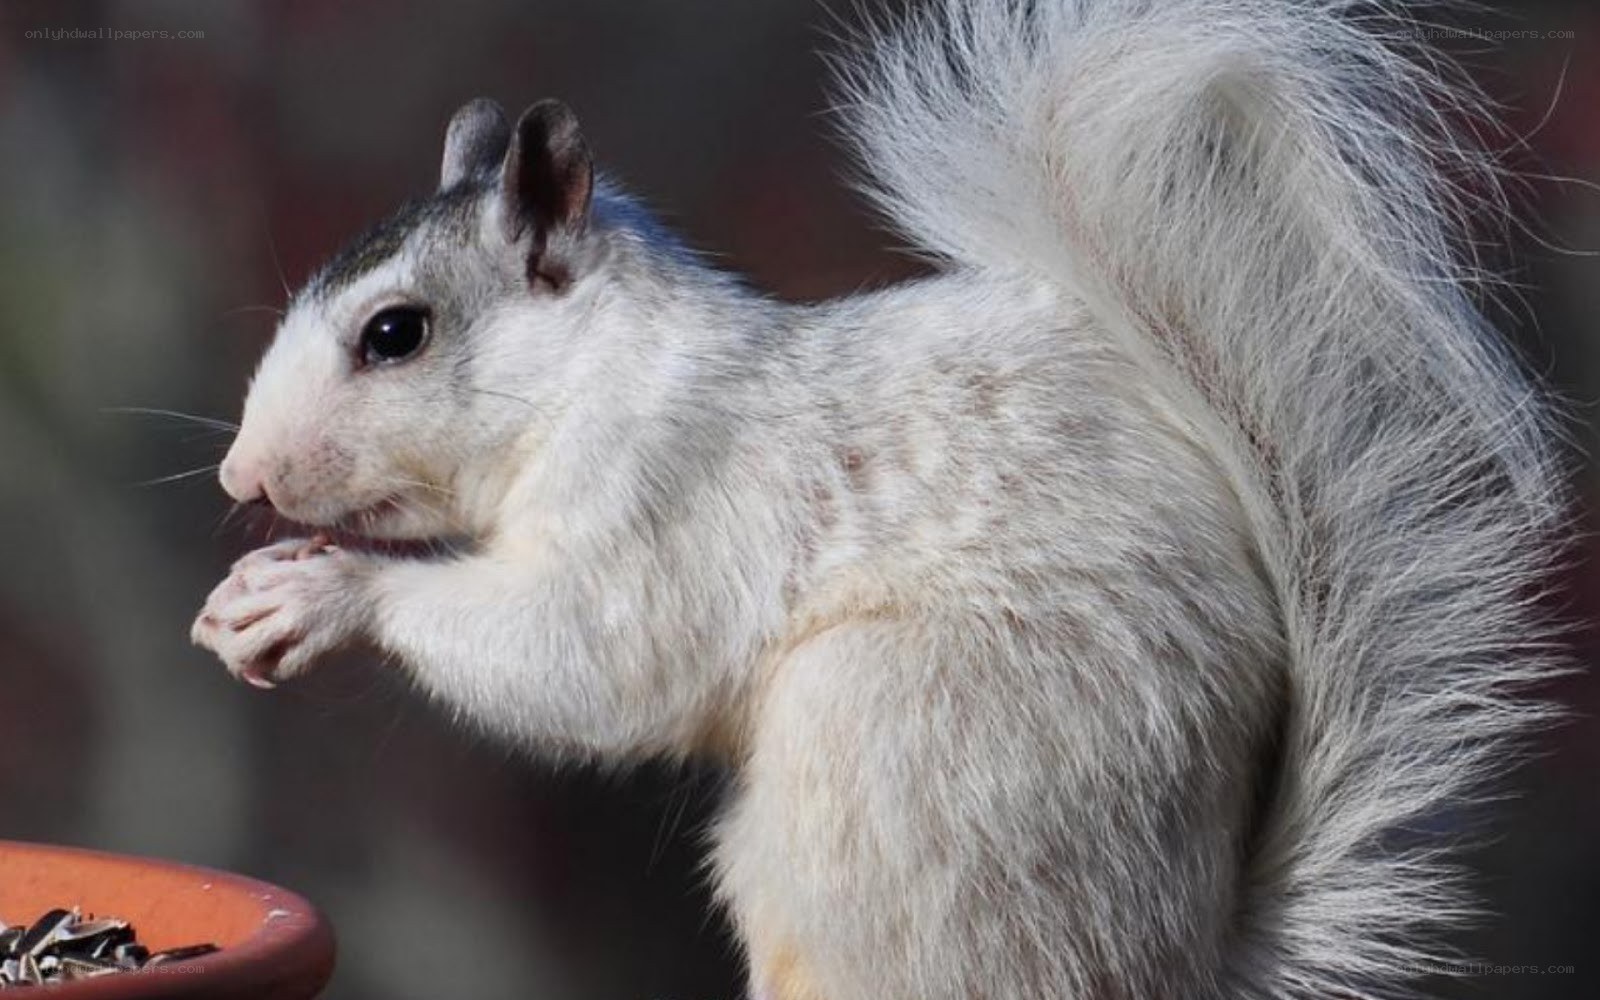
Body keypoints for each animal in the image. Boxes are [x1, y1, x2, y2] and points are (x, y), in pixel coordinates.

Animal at [190, 0, 1570, 997]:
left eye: (395, 333)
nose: (240, 480)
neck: (591, 370)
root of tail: (1178, 957)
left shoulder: (671, 492)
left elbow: (595, 654)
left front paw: (326, 595)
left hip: (896, 757)